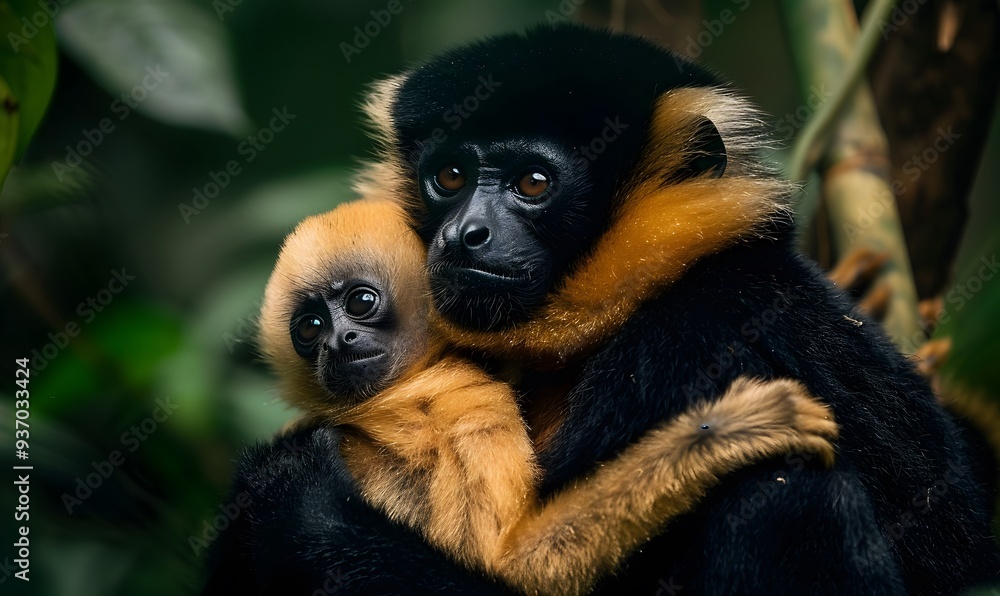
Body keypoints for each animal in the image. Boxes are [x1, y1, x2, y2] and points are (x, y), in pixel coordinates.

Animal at [251, 197, 839, 595]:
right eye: (309, 327)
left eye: (361, 302)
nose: (337, 342)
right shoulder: (460, 403)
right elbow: (516, 567)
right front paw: (724, 434)